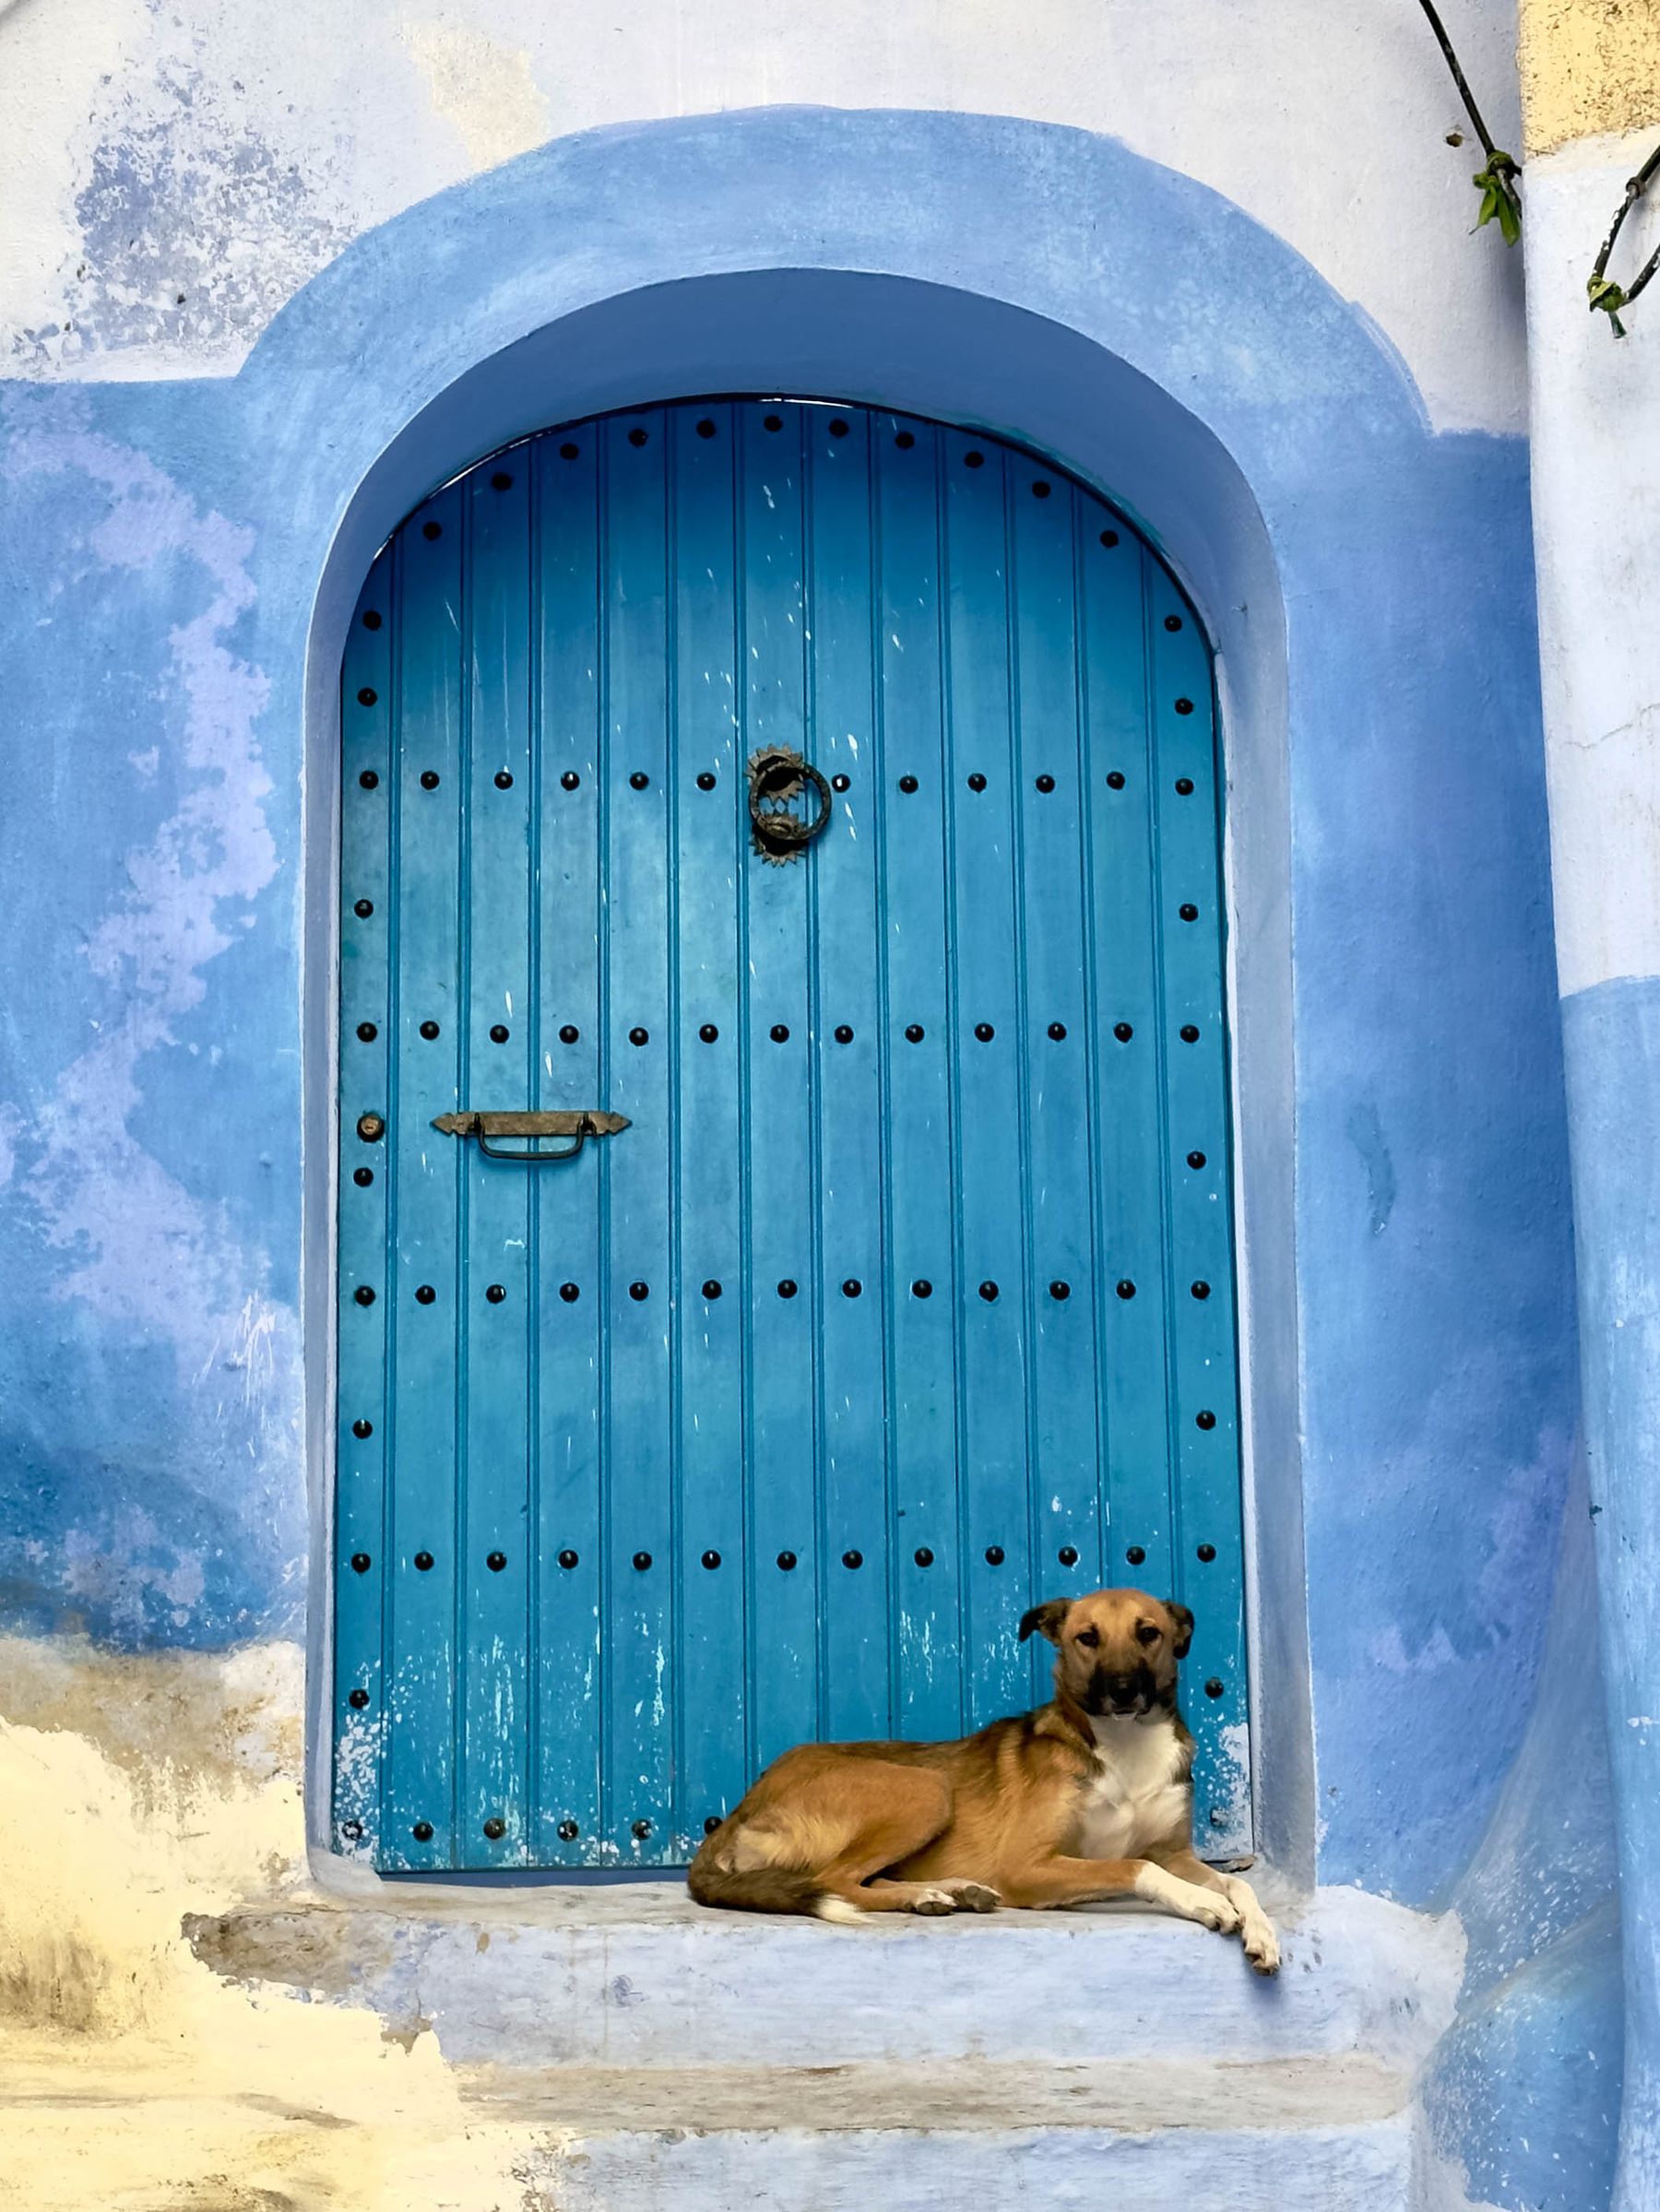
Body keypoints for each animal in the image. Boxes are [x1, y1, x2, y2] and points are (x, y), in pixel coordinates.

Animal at [690, 1583, 1284, 1981]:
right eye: (1086, 1638)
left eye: (1149, 1634)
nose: (1121, 1690)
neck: (1124, 1742)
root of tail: (746, 1802)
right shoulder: (1029, 1865)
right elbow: (1134, 1866)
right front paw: (1203, 1904)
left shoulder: (1176, 1852)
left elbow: (1240, 1884)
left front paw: (1260, 1930)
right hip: (925, 1789)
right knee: (833, 1880)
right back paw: (929, 1894)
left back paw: (950, 1891)